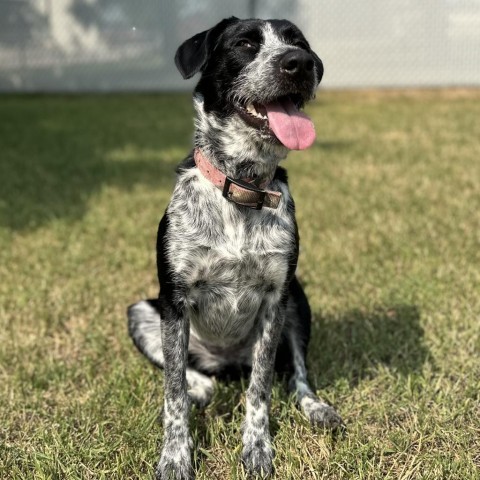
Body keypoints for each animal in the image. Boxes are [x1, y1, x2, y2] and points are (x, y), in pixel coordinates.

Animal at [126, 16, 344, 478]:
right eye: (245, 44)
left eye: (299, 43)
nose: (299, 63)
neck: (242, 190)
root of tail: (226, 362)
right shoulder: (174, 300)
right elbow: (173, 391)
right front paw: (175, 456)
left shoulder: (276, 298)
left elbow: (260, 388)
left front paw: (257, 448)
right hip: (141, 312)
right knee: (187, 374)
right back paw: (201, 387)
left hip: (298, 301)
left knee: (296, 375)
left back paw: (316, 408)